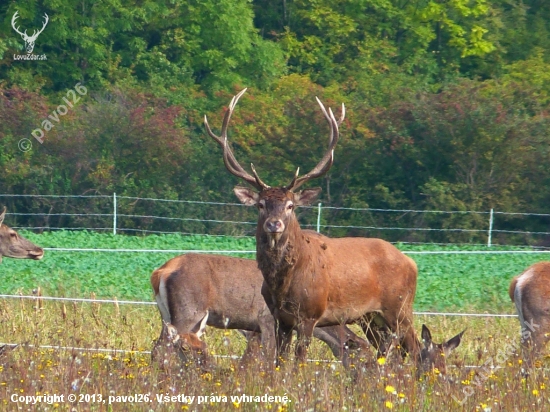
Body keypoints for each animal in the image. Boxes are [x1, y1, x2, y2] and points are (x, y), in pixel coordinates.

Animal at [153, 253, 374, 368]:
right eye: (365, 359)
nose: (372, 378)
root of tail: (160, 272)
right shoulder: (267, 319)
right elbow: (270, 356)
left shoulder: (254, 330)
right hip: (187, 311)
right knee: (166, 346)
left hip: (166, 314)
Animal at [207, 88, 466, 368]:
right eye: (261, 204)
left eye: (290, 205)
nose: (273, 224)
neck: (283, 284)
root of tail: (411, 262)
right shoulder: (279, 317)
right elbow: (279, 361)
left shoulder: (310, 314)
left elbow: (299, 361)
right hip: (371, 317)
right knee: (395, 351)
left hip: (400, 308)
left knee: (416, 347)